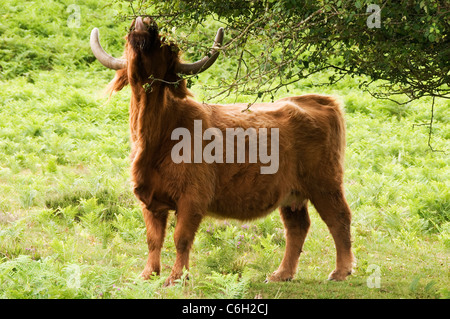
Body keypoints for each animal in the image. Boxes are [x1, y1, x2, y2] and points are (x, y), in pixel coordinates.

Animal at [89, 16, 354, 288]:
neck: (157, 136)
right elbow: (153, 239)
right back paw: (281, 274)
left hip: (325, 183)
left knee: (338, 218)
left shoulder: (192, 198)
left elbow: (180, 237)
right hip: (292, 193)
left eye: (166, 43)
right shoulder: (150, 199)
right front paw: (147, 275)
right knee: (297, 227)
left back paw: (340, 272)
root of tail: (319, 101)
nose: (145, 20)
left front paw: (176, 278)